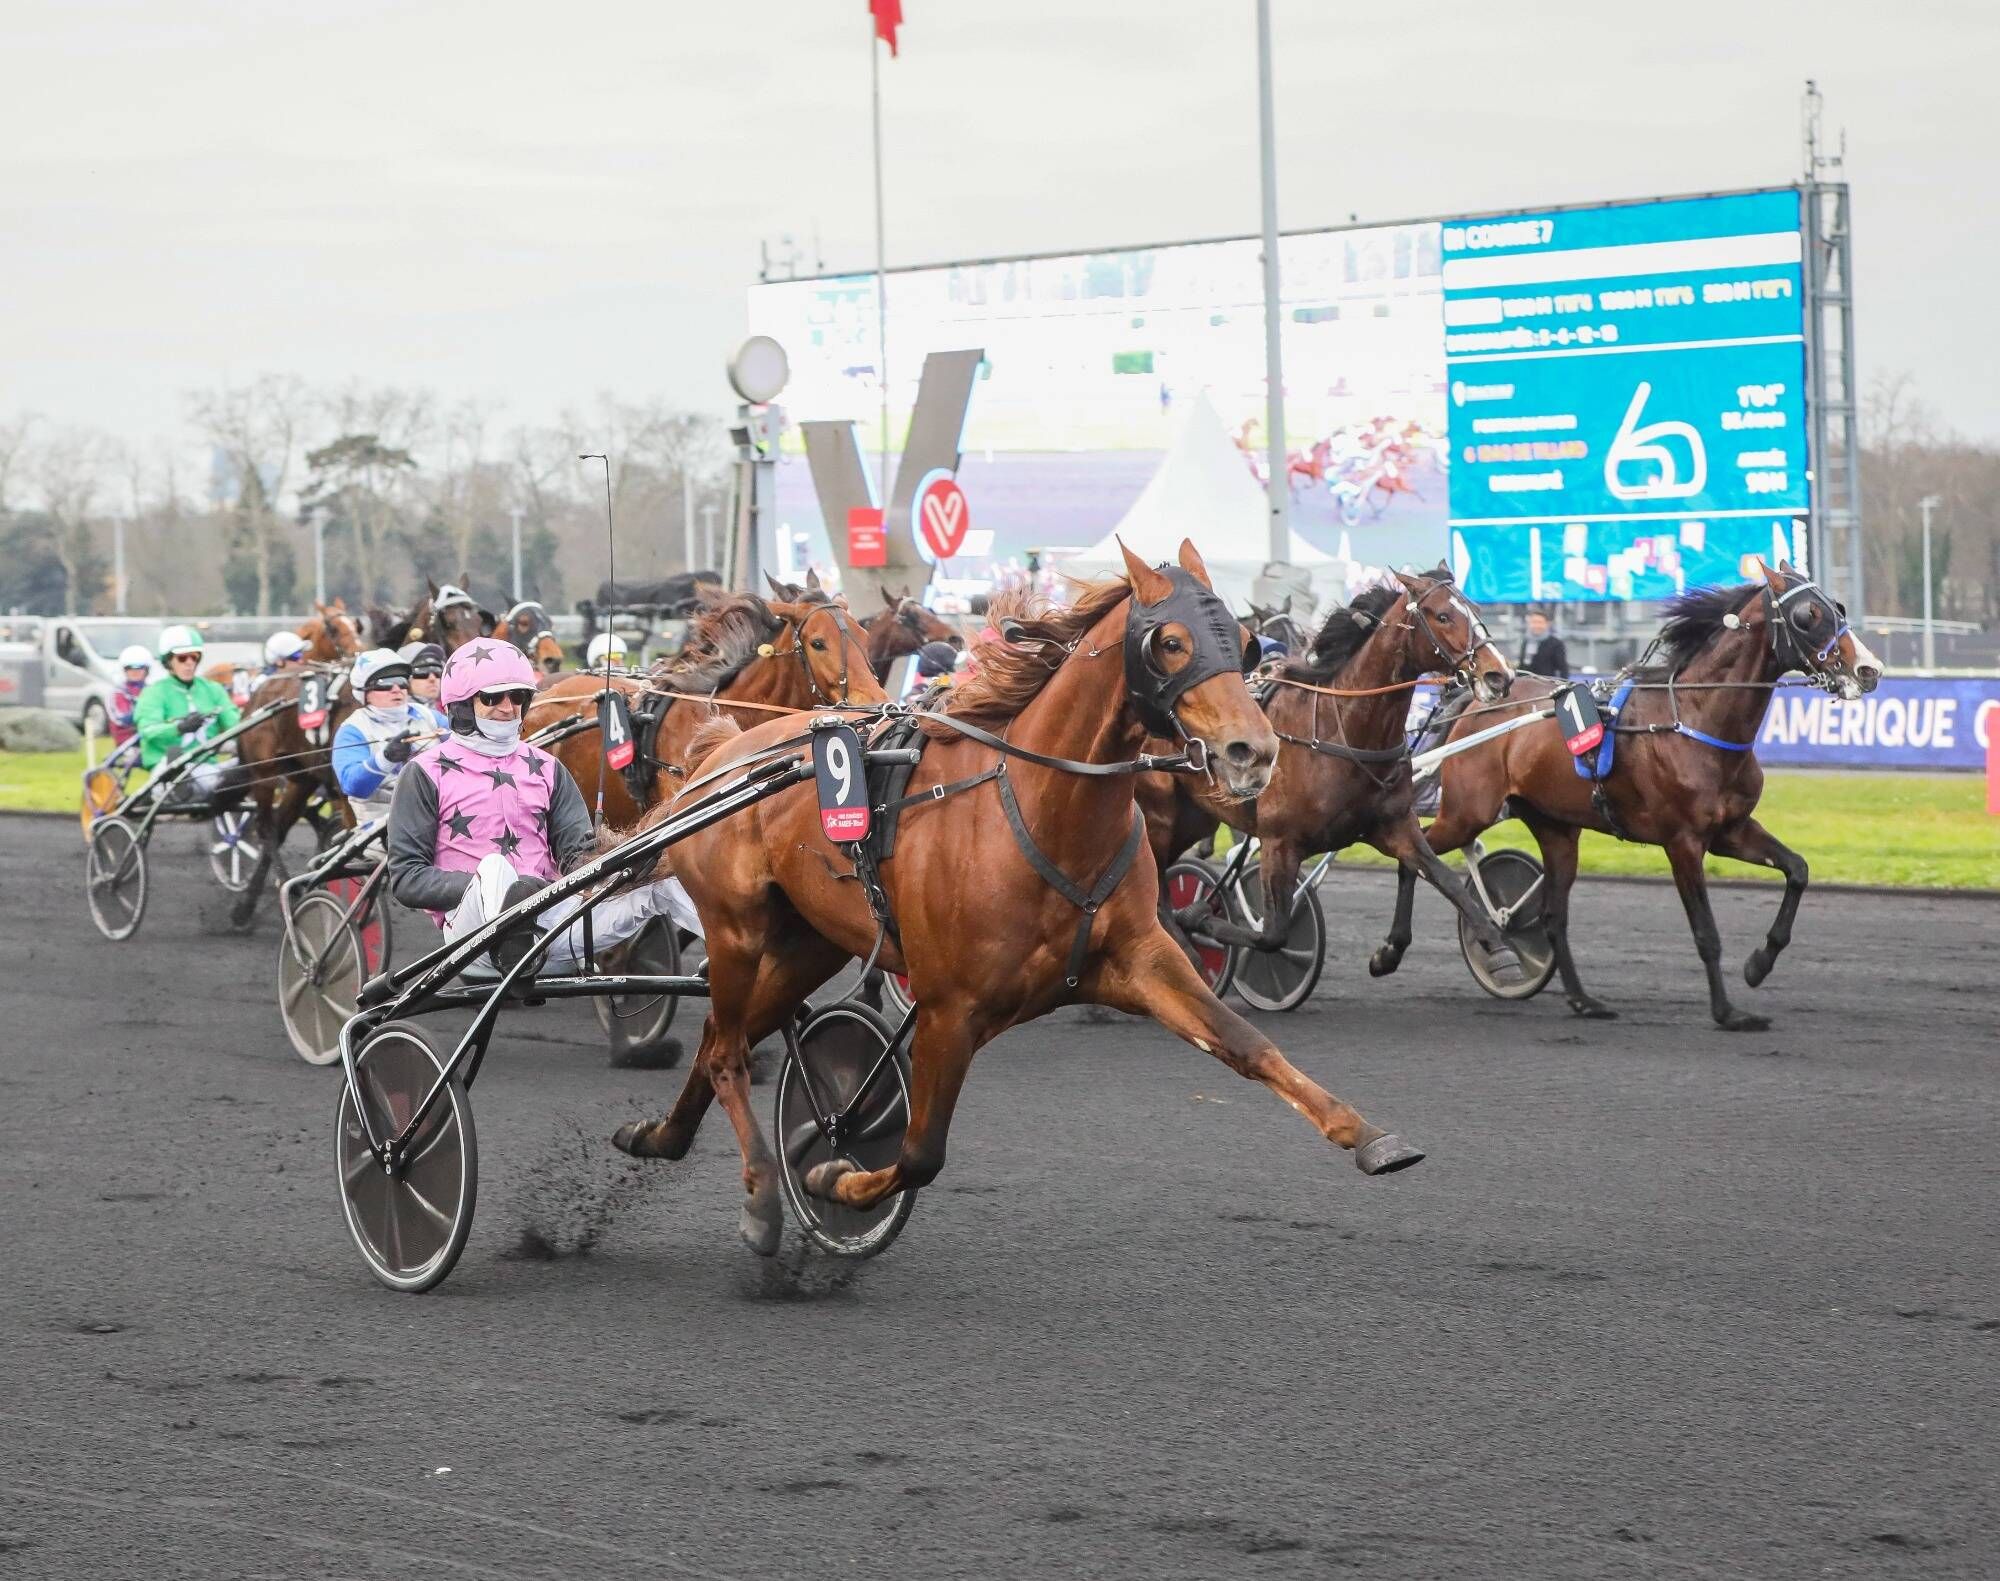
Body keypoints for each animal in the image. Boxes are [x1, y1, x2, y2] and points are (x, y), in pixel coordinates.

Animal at [608, 544, 1424, 1264]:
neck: (1040, 809)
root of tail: (720, 755)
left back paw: (661, 1137)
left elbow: (1247, 1044)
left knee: (721, 1038)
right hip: (737, 930)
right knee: (726, 1050)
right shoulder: (949, 1007)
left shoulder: (1141, 959)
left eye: (1246, 642)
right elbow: (920, 1152)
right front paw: (833, 1174)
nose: (1254, 751)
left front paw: (1371, 1137)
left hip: (807, 943)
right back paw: (760, 1196)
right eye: (1170, 641)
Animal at [1144, 568, 1512, 964]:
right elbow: (1271, 934)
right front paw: (1198, 918)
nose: (1500, 675)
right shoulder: (1279, 843)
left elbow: (1443, 878)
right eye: (1443, 616)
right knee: (1156, 893)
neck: (1343, 732)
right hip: (1158, 817)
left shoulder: (1394, 825)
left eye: (1476, 609)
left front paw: (1493, 946)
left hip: (1193, 815)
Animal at [1400, 564, 1880, 1032]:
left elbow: (1797, 870)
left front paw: (1758, 965)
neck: (1693, 720)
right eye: (1807, 616)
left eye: (1836, 607)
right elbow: (1706, 932)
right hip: (1468, 812)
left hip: (1556, 828)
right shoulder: (1683, 842)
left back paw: (1582, 999)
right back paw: (1400, 948)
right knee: (1415, 852)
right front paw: (1728, 1012)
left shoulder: (1731, 831)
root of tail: (1474, 701)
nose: (1869, 669)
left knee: (1552, 917)